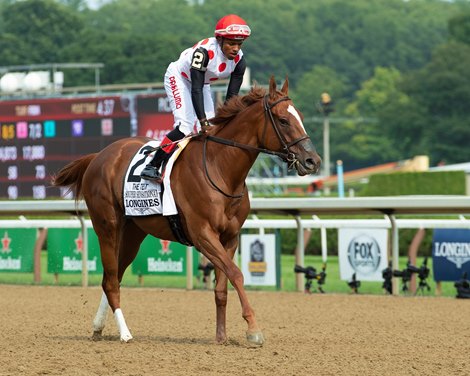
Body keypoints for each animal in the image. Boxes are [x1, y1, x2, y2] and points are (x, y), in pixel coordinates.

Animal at [53, 76, 322, 346]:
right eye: (283, 120)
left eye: (299, 116)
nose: (313, 161)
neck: (220, 168)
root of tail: (99, 155)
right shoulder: (202, 234)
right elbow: (236, 274)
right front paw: (253, 329)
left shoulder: (230, 238)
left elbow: (222, 286)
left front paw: (221, 336)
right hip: (107, 226)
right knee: (110, 281)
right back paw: (125, 333)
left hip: (133, 233)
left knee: (112, 277)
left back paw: (98, 327)